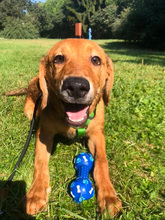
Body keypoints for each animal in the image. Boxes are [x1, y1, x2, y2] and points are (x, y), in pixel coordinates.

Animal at [23, 38, 121, 216]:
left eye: (96, 60)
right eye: (58, 59)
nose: (76, 86)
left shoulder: (97, 135)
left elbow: (102, 162)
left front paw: (108, 196)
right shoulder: (44, 133)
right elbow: (40, 163)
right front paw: (36, 193)